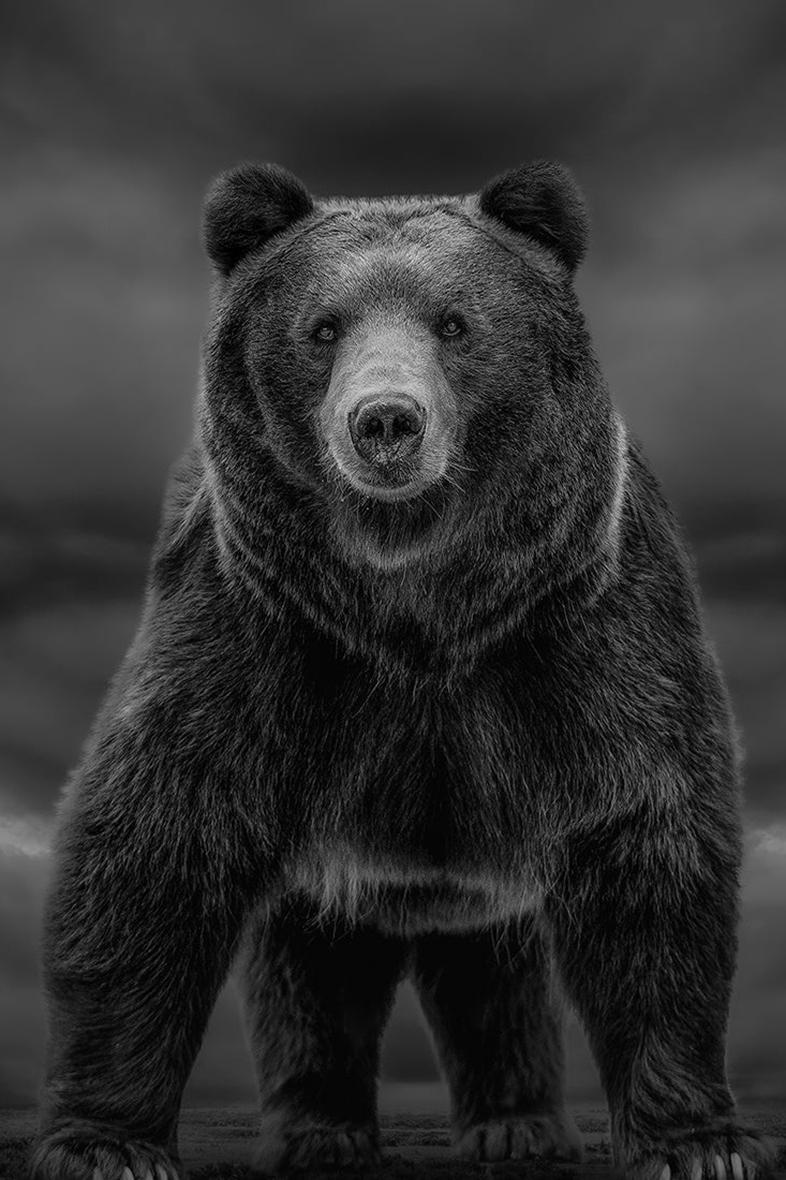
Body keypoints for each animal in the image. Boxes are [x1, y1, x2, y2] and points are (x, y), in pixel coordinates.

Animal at [30, 160, 776, 1180]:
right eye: (322, 327)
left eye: (455, 323)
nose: (386, 420)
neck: (415, 604)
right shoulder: (261, 631)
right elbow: (156, 835)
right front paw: (106, 1146)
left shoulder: (580, 629)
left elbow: (647, 841)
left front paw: (700, 1145)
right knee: (313, 969)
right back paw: (323, 1132)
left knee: (489, 962)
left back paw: (519, 1124)